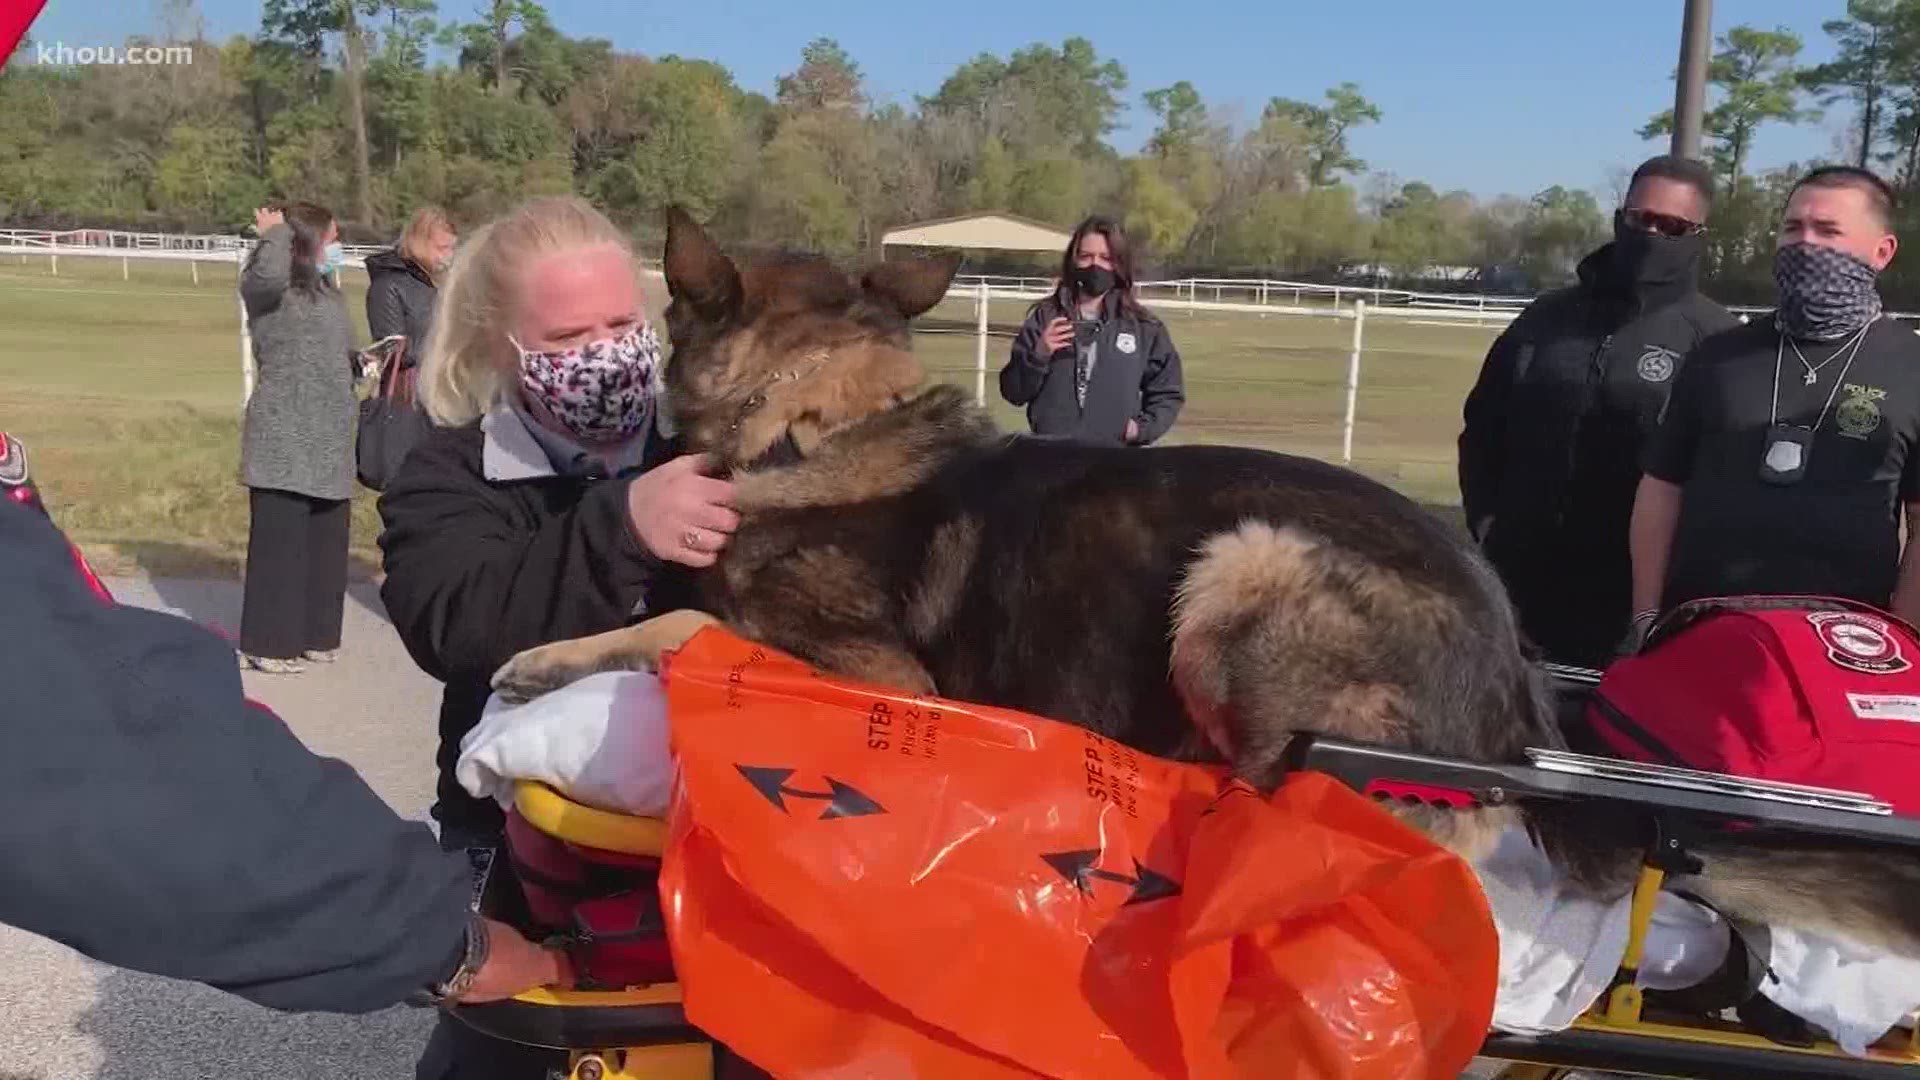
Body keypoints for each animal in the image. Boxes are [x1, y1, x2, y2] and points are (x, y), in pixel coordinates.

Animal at [495, 205, 1920, 953]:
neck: (817, 421)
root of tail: (1518, 697)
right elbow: (675, 610)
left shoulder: (876, 668)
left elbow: (682, 623)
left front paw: (542, 656)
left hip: (1248, 563)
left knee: (1320, 820)